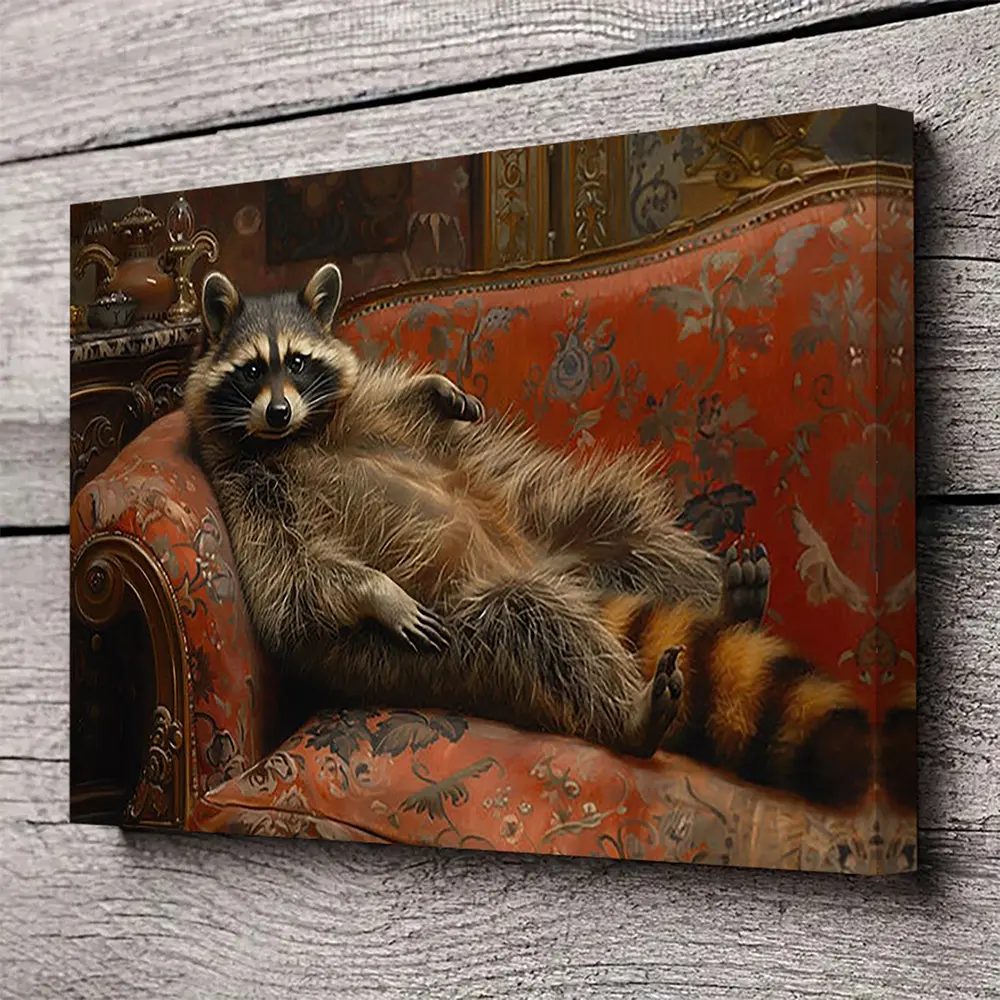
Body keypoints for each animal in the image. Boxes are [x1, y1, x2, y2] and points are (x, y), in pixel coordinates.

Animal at [184, 262, 889, 811]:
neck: (289, 439)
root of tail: (548, 571)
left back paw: (720, 597)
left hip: (552, 520)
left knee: (629, 524)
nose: (279, 410)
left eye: (298, 363)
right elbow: (295, 582)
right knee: (532, 630)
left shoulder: (356, 412)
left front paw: (433, 388)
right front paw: (376, 591)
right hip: (446, 641)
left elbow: (403, 401)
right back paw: (629, 716)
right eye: (253, 371)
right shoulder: (249, 497)